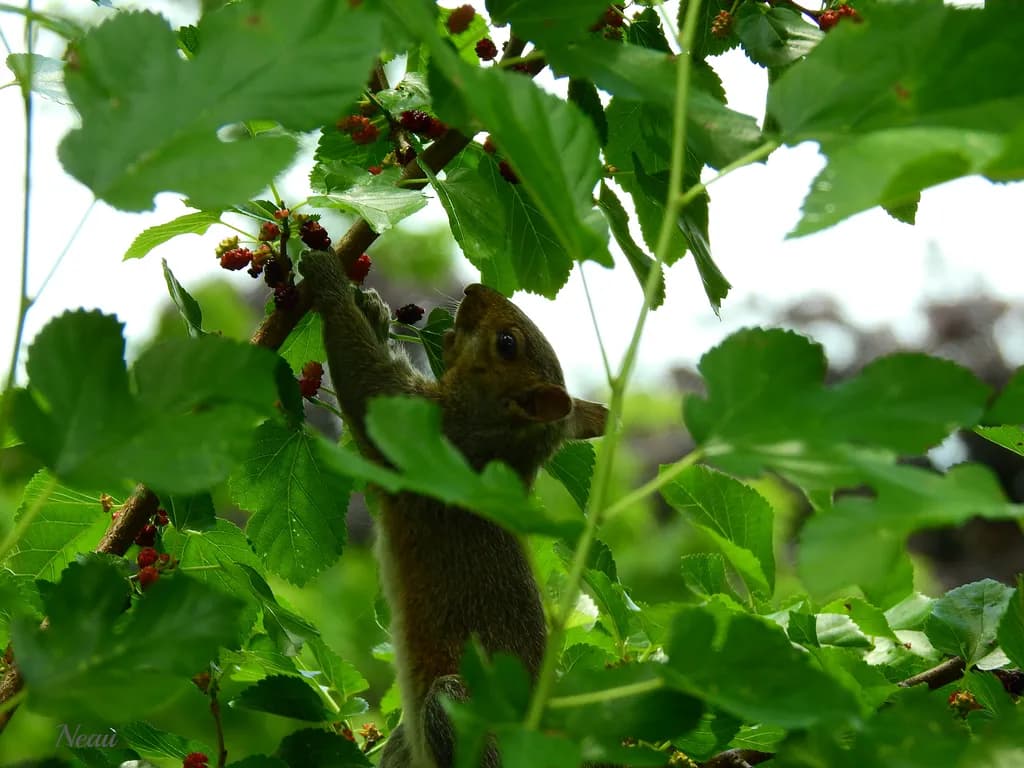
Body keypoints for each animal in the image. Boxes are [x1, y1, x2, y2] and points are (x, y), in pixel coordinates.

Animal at [299, 250, 608, 768]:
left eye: (508, 344)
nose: (472, 290)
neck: (488, 444)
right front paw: (373, 310)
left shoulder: (417, 430)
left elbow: (364, 379)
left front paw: (330, 281)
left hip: (459, 703)